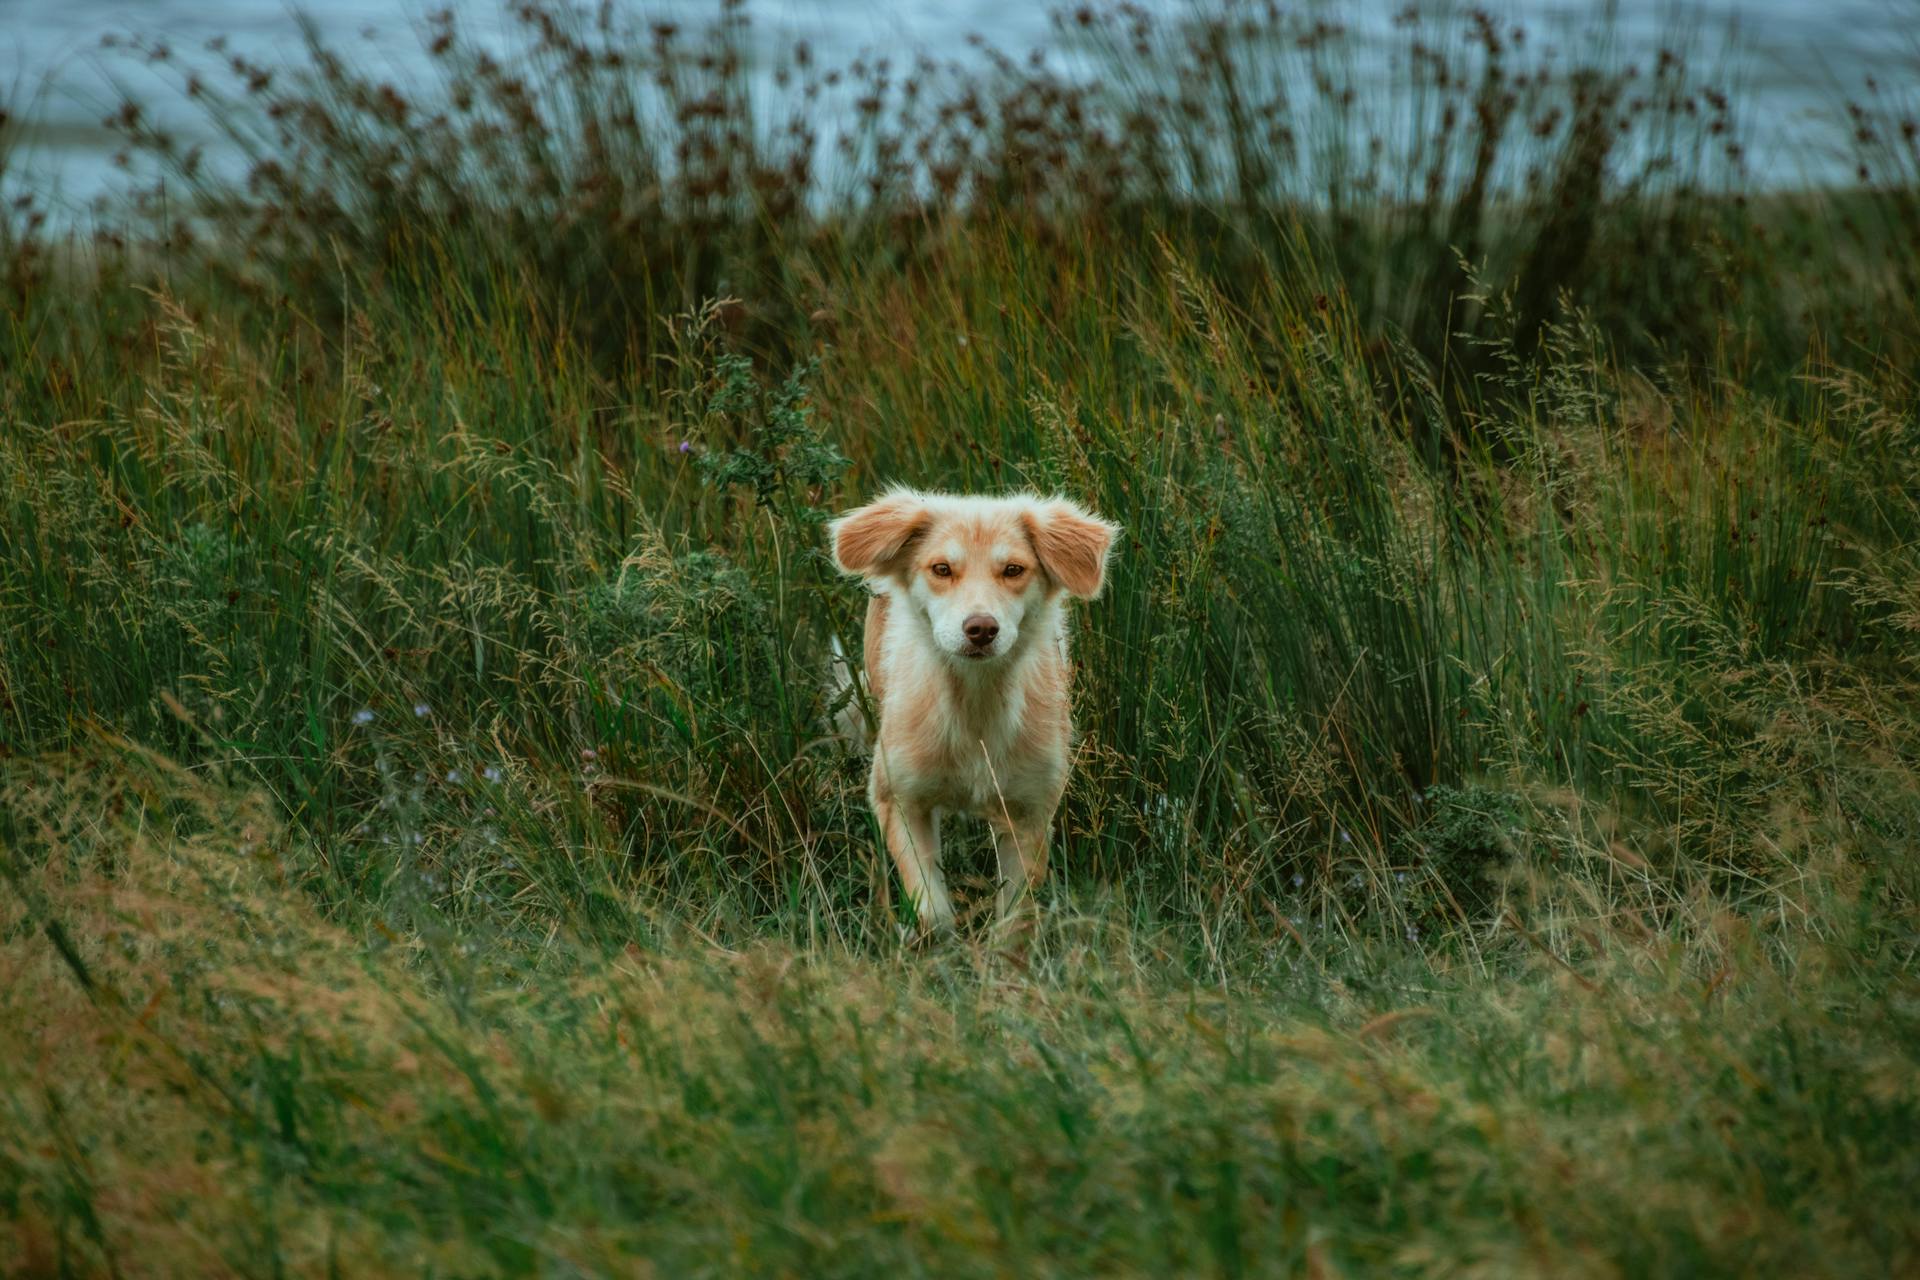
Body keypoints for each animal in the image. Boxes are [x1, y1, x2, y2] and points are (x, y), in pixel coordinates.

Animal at [829, 485, 1121, 936]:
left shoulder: (1031, 810)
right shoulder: (898, 798)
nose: (981, 629)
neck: (974, 703)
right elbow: (932, 910)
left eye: (1014, 570)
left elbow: (1015, 918)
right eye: (942, 569)